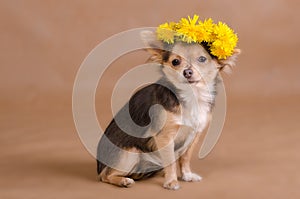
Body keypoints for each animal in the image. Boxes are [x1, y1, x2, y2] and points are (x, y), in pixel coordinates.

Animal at [97, 29, 240, 190]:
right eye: (175, 62)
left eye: (202, 59)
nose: (187, 72)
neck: (191, 96)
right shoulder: (165, 137)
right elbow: (170, 161)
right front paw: (171, 181)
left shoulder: (194, 135)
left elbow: (185, 158)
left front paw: (187, 175)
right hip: (130, 152)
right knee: (105, 175)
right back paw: (123, 180)